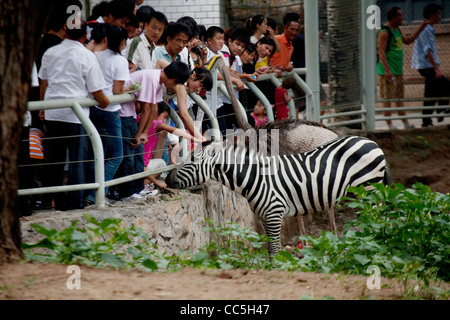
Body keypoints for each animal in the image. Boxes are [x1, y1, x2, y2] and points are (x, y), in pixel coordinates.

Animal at [165, 135, 390, 255]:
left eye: (190, 161)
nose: (167, 180)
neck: (257, 178)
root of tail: (369, 141)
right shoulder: (264, 216)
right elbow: (271, 248)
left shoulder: (274, 213)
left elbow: (273, 248)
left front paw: (276, 269)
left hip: (369, 190)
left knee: (376, 220)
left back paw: (373, 250)